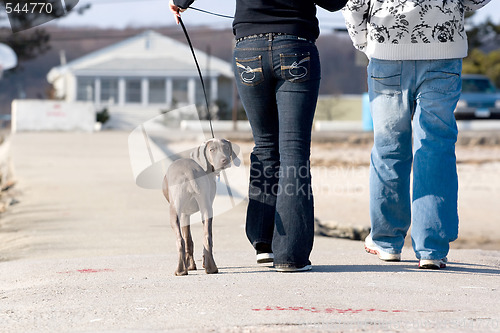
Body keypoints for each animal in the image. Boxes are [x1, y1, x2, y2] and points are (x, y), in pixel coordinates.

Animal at [164, 137, 240, 274]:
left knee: (180, 240)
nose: (225, 160)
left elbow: (187, 239)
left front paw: (190, 265)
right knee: (207, 237)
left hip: (174, 210)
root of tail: (188, 172)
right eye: (212, 150)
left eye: (226, 148)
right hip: (206, 209)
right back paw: (211, 268)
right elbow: (191, 240)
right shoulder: (189, 213)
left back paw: (181, 270)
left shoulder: (184, 214)